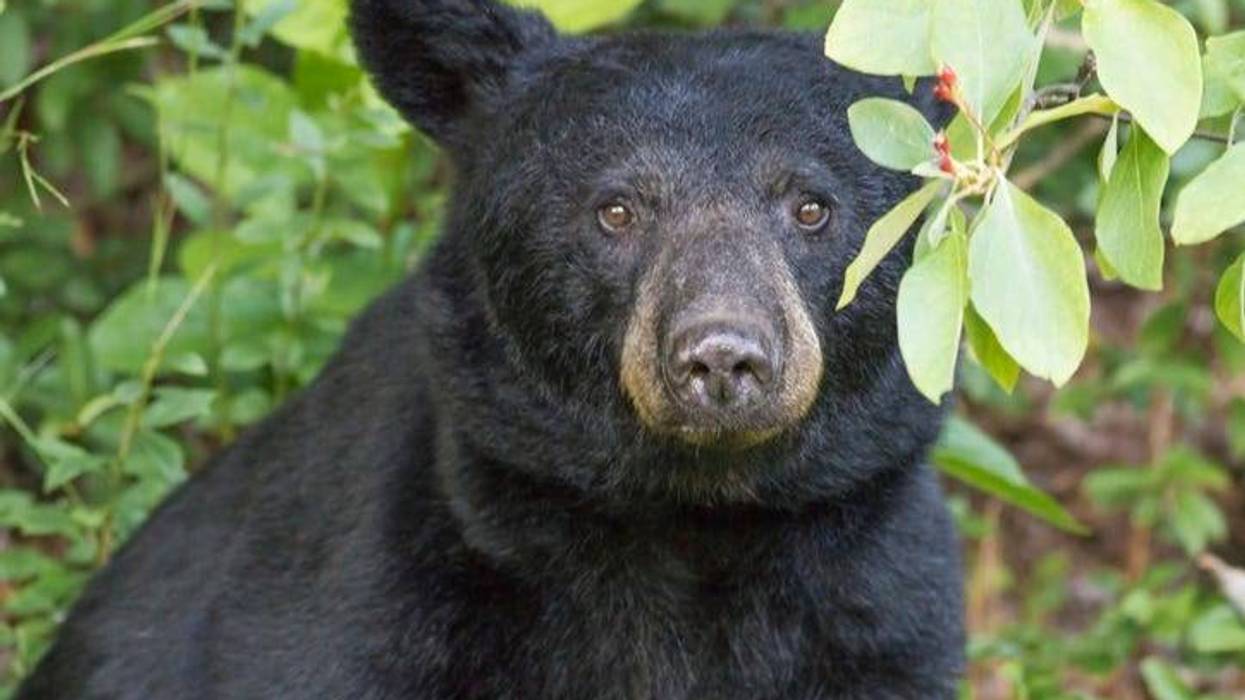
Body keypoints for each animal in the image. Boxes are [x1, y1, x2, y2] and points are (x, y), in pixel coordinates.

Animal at [18, 1, 965, 698]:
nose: (722, 359)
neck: (692, 519)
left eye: (811, 207)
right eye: (615, 209)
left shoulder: (878, 617)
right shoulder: (377, 601)